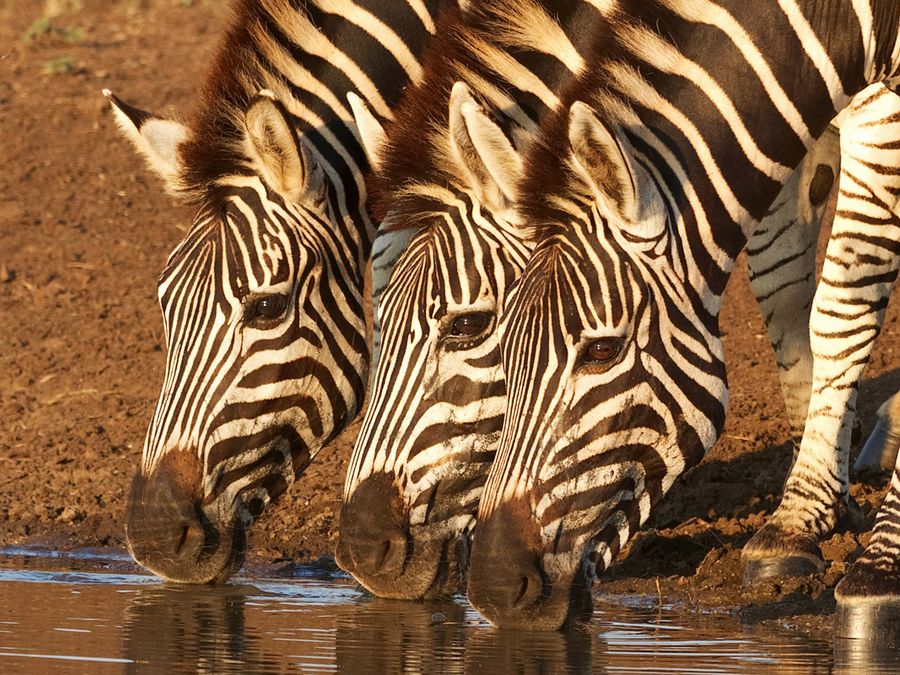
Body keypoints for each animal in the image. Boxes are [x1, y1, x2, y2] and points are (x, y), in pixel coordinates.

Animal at [465, 1, 900, 631]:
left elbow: (843, 299)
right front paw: (802, 523)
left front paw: (880, 562)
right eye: (501, 349)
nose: (492, 589)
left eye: (602, 350)